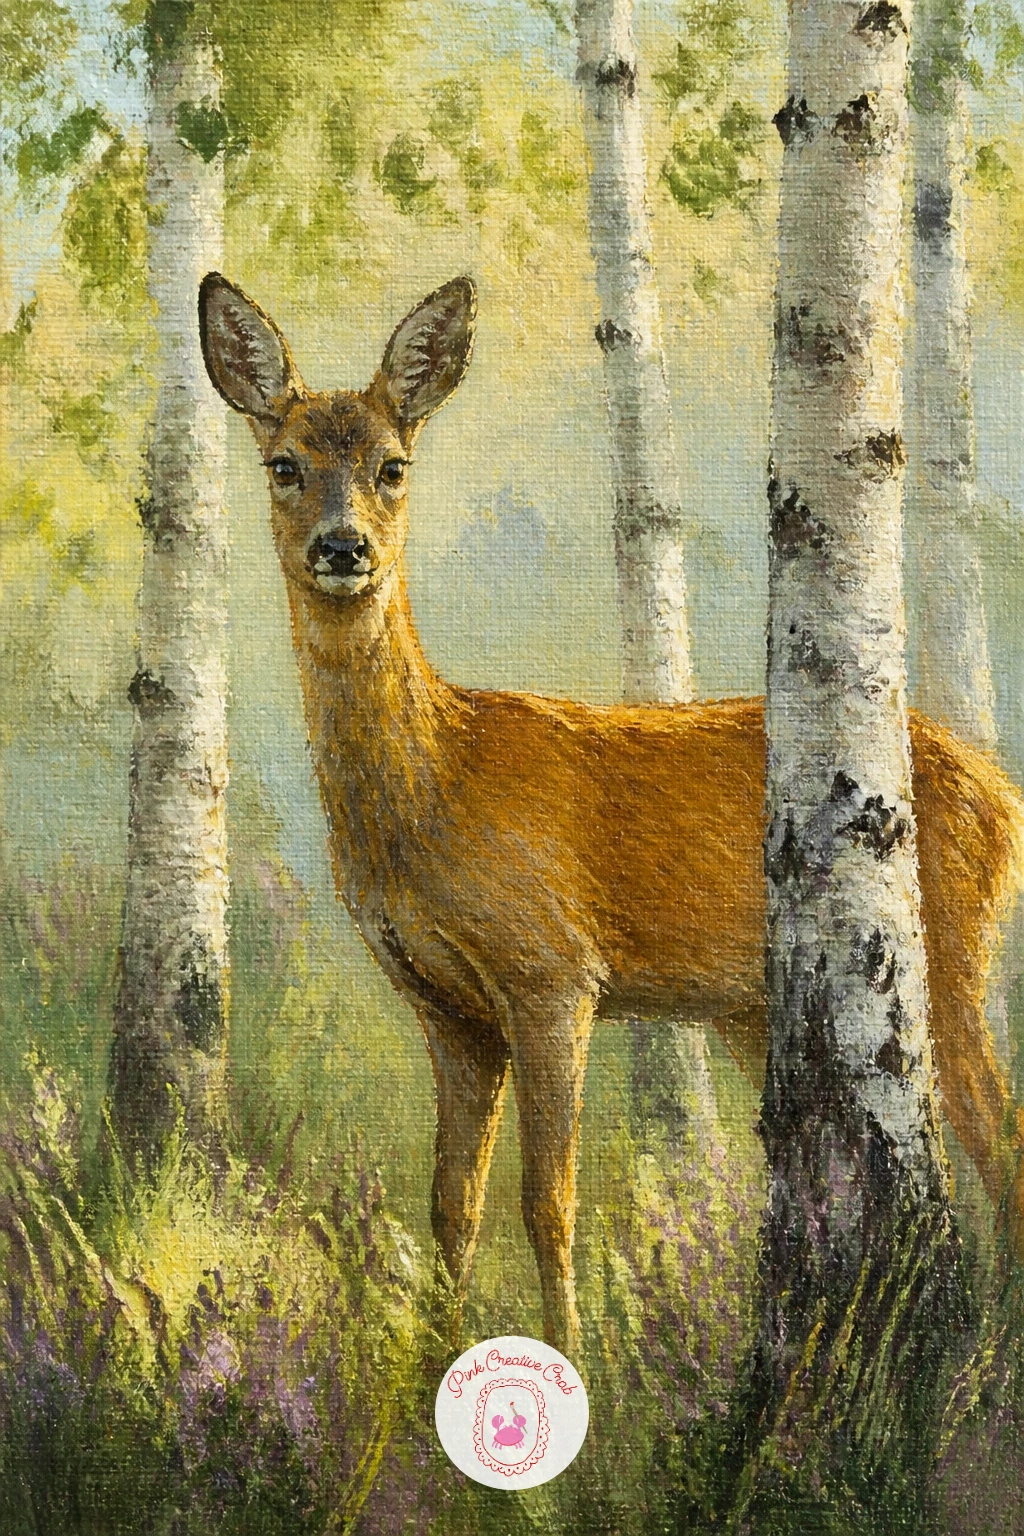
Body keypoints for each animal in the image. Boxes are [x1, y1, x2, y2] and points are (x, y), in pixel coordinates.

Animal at [199, 272, 1024, 1358]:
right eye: (284, 464)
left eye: (392, 466)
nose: (344, 548)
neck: (438, 781)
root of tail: (1003, 794)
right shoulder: (447, 1008)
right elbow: (451, 1204)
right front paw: (431, 1365)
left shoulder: (552, 971)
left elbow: (548, 1201)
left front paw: (566, 1359)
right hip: (755, 1007)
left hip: (948, 952)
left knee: (1001, 1146)